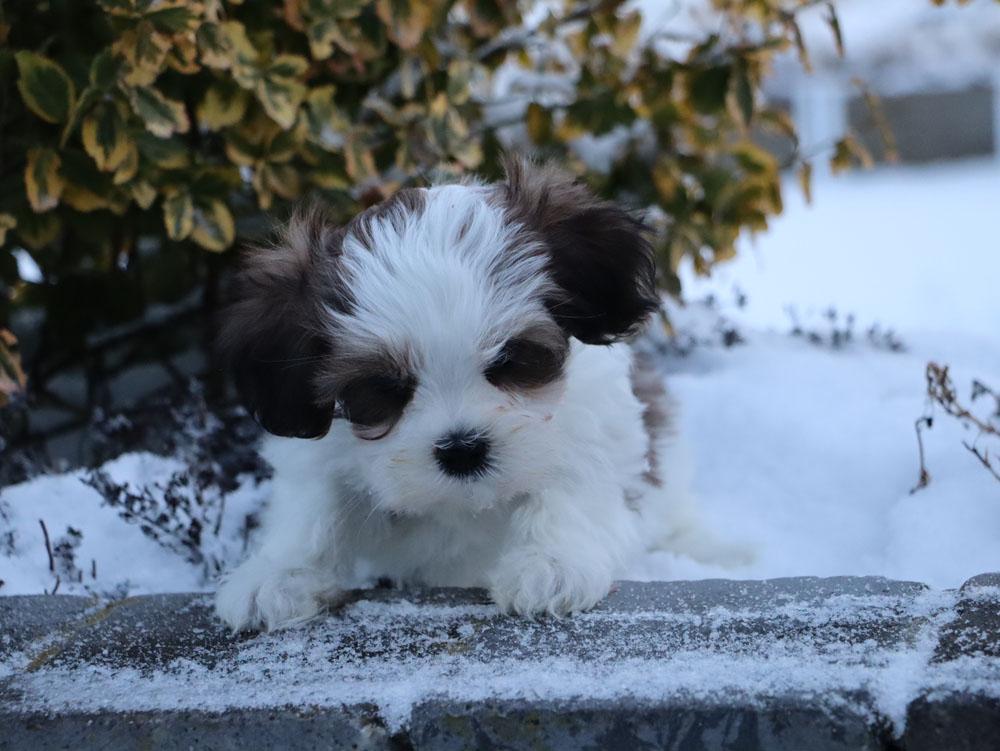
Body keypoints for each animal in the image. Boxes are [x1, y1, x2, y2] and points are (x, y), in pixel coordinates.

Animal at [215, 157, 743, 632]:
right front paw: (278, 572)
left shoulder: (594, 420)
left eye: (510, 360)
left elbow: (574, 482)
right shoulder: (322, 449)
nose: (462, 449)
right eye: (385, 388)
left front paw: (551, 562)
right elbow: (312, 506)